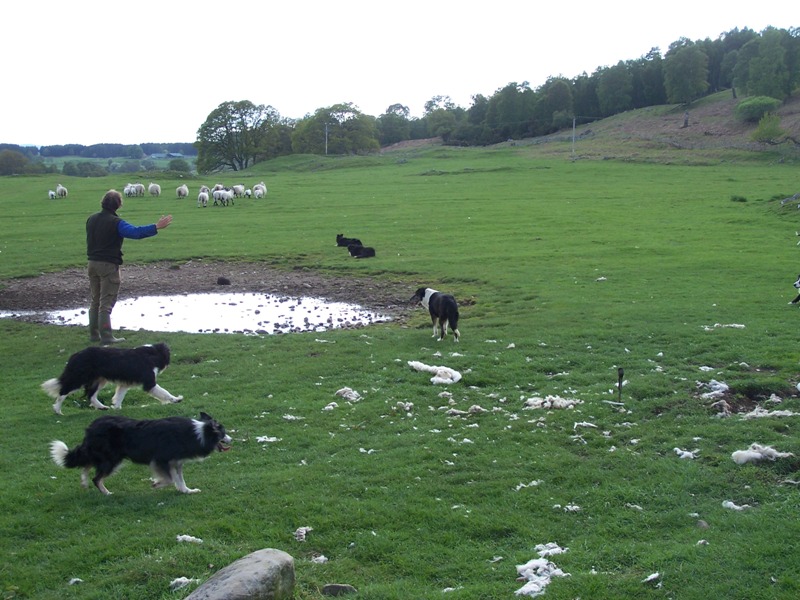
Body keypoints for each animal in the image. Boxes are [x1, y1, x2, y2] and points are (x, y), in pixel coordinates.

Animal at [42, 342, 184, 418]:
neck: (153, 352)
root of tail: (75, 355)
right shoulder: (149, 382)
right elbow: (164, 392)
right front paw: (176, 399)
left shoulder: (124, 384)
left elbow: (119, 396)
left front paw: (116, 408)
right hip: (79, 378)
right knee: (63, 392)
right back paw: (58, 410)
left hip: (99, 380)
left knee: (91, 395)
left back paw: (102, 407)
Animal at [50, 410, 231, 494]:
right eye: (223, 433)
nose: (231, 440)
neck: (198, 433)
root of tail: (92, 427)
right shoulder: (161, 460)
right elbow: (170, 479)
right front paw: (157, 484)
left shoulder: (176, 462)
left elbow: (179, 480)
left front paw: (187, 491)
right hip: (112, 459)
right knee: (97, 477)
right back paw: (106, 493)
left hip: (103, 456)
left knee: (86, 464)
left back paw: (84, 482)